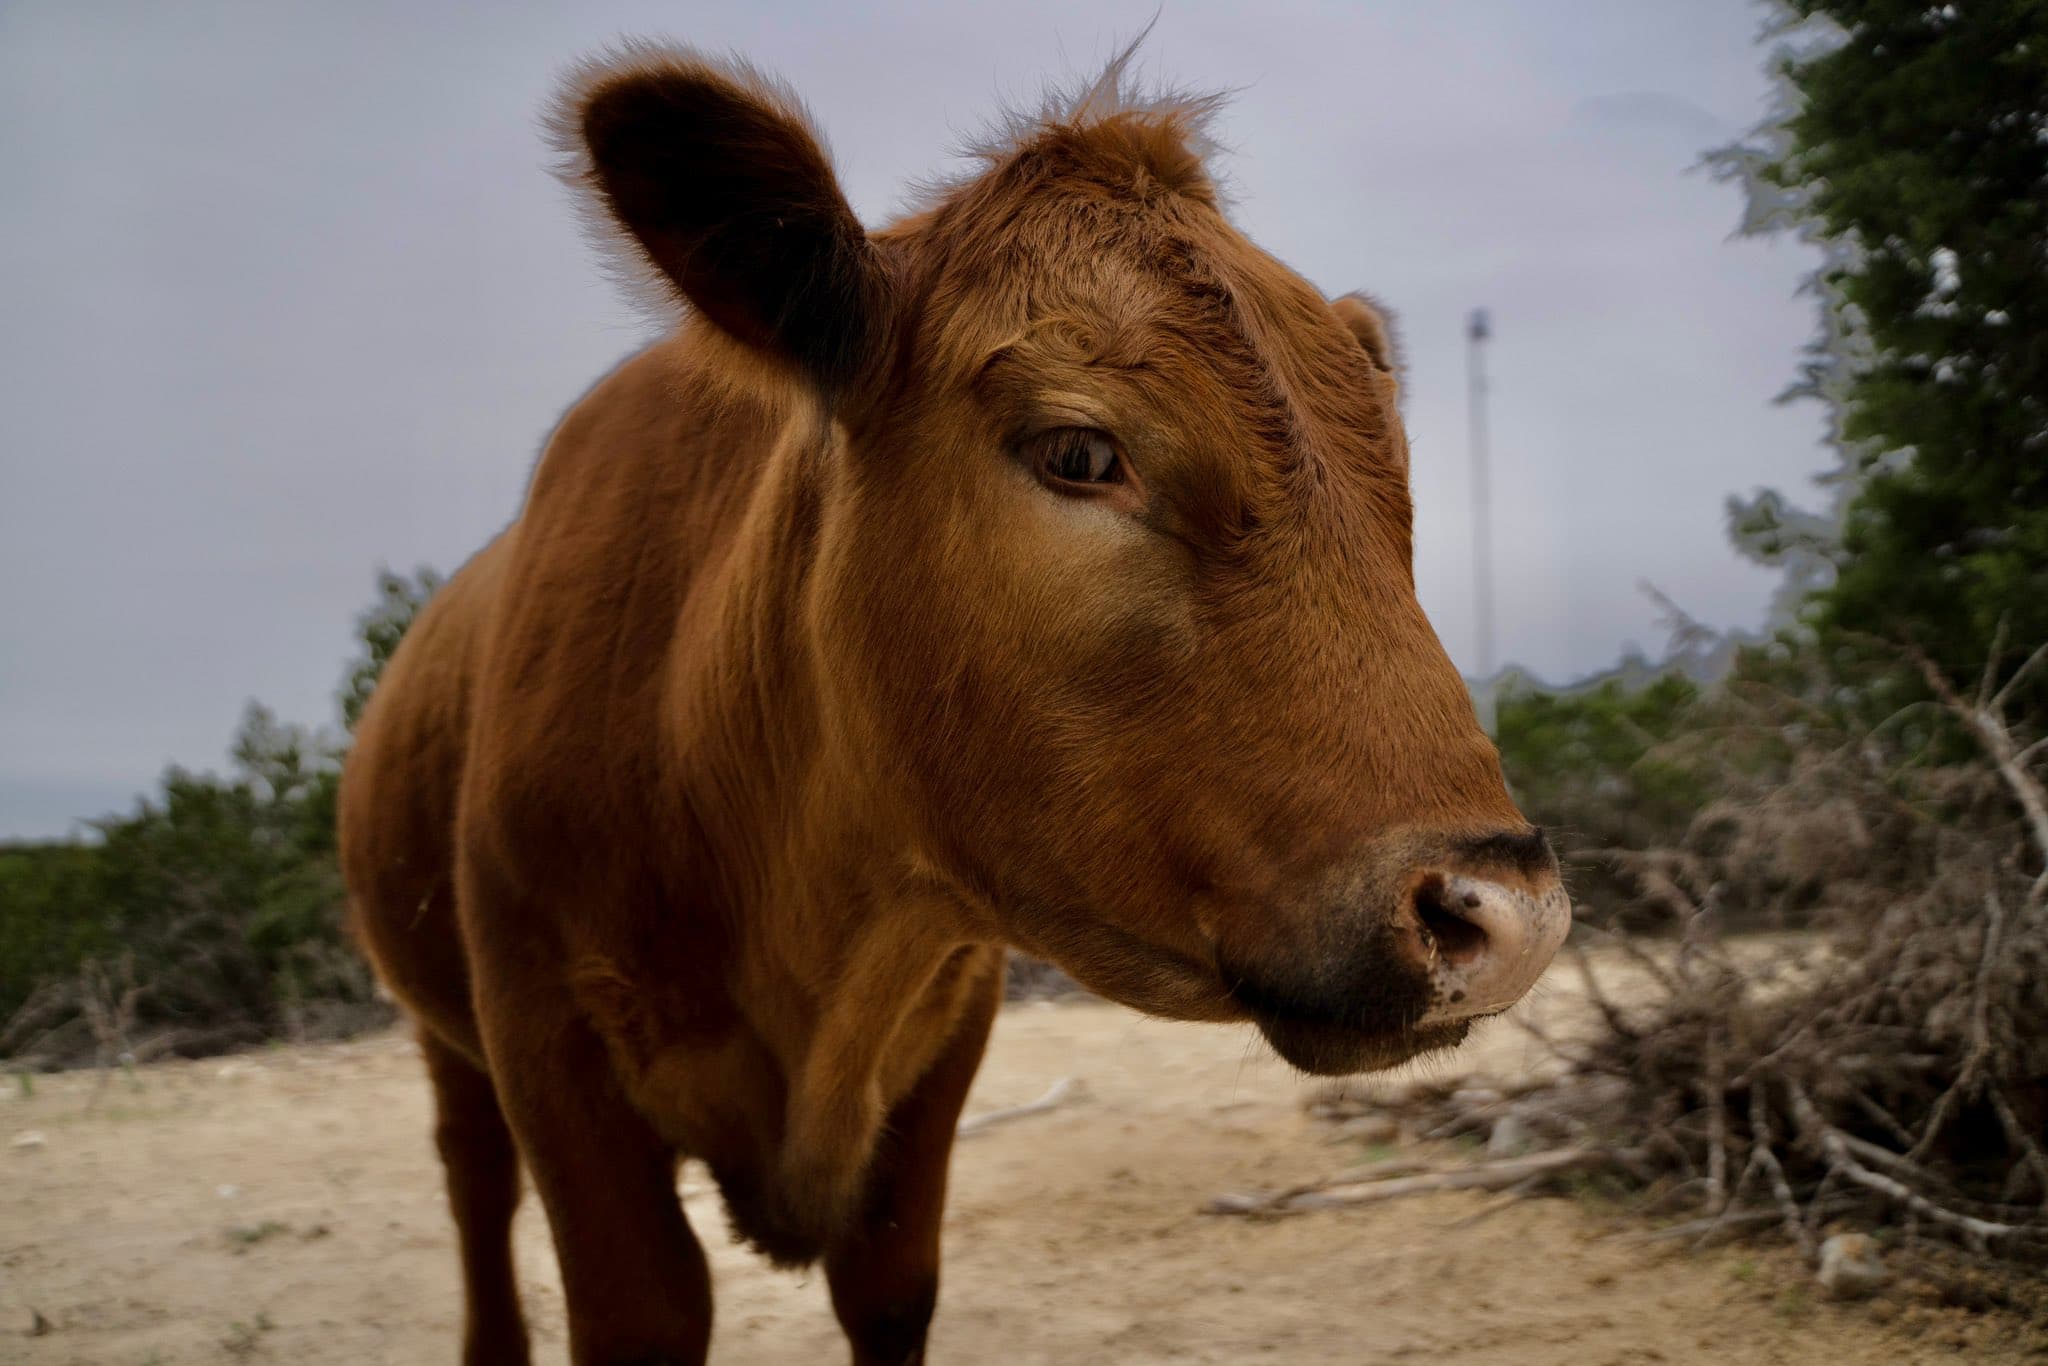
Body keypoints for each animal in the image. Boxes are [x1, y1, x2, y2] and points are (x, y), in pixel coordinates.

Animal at [339, 40, 1564, 1366]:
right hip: (443, 1032)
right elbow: (636, 1304)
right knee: (472, 1182)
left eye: (1390, 470)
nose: (1500, 914)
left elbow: (889, 1283)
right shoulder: (550, 1050)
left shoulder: (940, 1037)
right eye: (1078, 452)